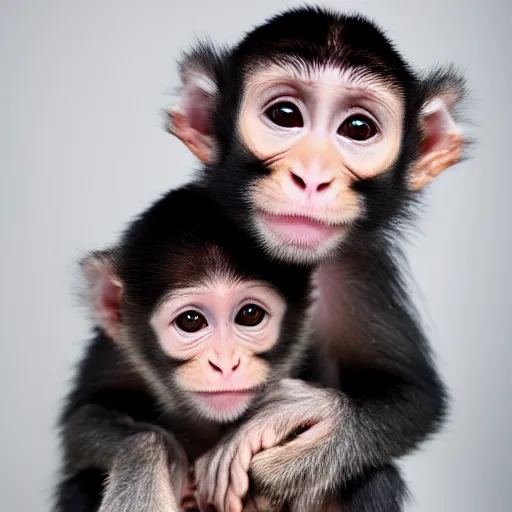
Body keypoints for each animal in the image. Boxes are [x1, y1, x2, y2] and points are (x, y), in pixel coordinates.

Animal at [52, 183, 318, 512]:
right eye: (191, 321)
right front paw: (152, 460)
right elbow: (79, 424)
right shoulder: (108, 352)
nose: (225, 363)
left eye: (250, 315)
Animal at [165, 5, 472, 512]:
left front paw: (297, 426)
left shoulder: (358, 266)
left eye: (358, 129)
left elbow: (415, 398)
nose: (311, 176)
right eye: (285, 115)